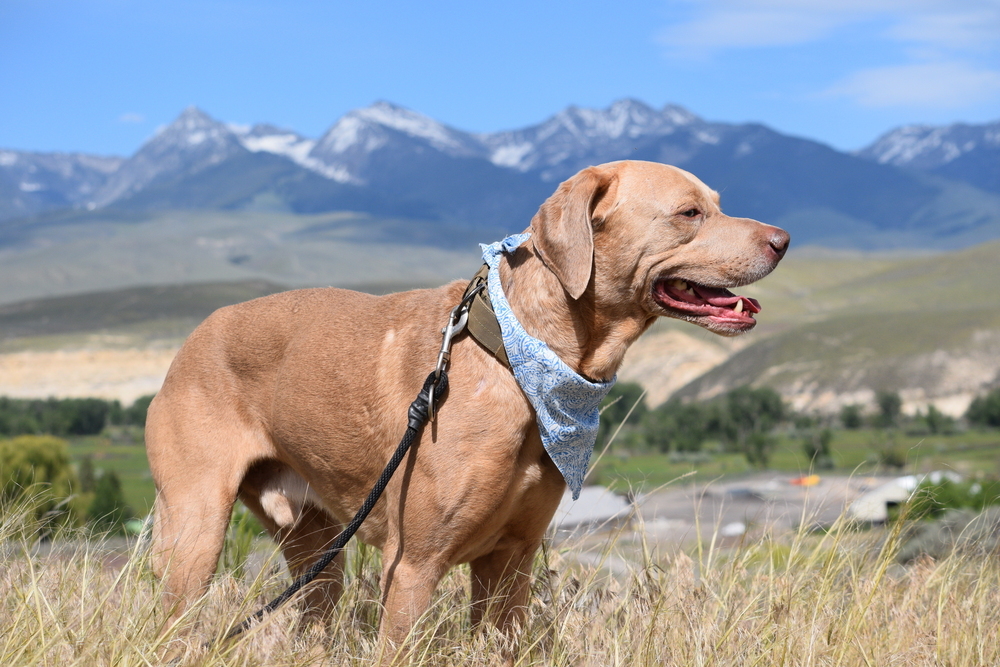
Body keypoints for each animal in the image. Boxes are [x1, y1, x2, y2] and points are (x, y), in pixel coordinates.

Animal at [148, 163, 788, 656]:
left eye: (717, 204)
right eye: (689, 213)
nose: (783, 239)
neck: (520, 359)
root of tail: (191, 340)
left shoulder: (511, 563)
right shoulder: (412, 567)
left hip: (318, 551)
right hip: (195, 531)